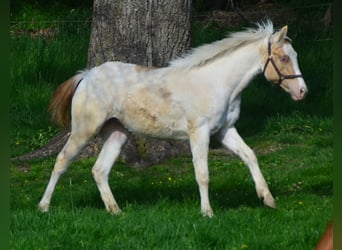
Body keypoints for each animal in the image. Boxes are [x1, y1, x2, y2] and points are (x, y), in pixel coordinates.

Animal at [37, 20, 308, 217]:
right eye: (284, 58)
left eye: (294, 55)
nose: (302, 92)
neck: (217, 83)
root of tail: (87, 75)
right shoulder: (199, 132)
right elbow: (202, 173)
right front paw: (207, 212)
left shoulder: (225, 130)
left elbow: (250, 155)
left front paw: (268, 199)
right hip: (84, 129)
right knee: (62, 162)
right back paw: (43, 207)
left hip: (117, 133)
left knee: (99, 170)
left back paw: (116, 211)